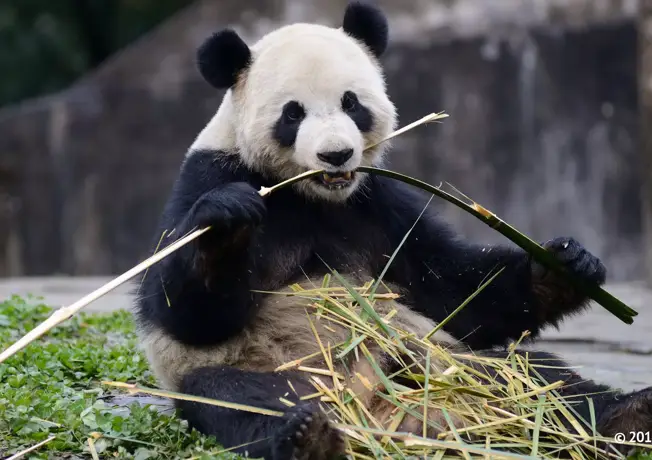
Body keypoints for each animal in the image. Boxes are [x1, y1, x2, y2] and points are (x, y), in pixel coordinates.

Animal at [134, 2, 652, 459]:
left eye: (351, 103)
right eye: (292, 113)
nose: (336, 155)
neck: (312, 196)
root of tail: (386, 412)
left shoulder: (378, 204)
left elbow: (453, 292)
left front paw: (566, 264)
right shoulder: (210, 175)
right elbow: (186, 313)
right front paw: (227, 222)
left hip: (442, 359)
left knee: (534, 376)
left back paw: (623, 414)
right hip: (265, 370)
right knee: (243, 398)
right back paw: (307, 436)